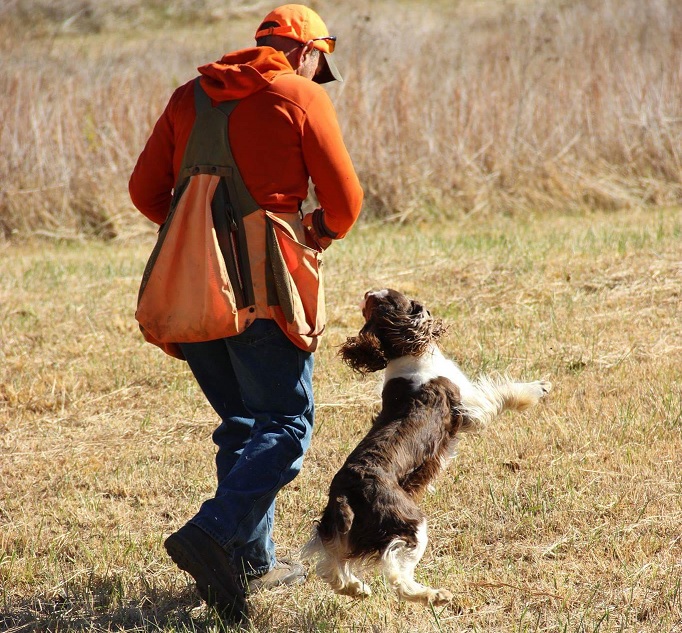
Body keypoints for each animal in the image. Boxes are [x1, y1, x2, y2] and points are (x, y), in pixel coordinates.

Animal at [300, 288, 548, 604]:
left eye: (378, 302)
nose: (368, 292)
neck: (407, 353)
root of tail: (347, 494)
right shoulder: (471, 410)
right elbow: (502, 393)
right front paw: (538, 388)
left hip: (342, 530)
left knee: (331, 563)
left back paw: (357, 589)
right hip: (411, 524)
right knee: (396, 576)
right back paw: (434, 595)